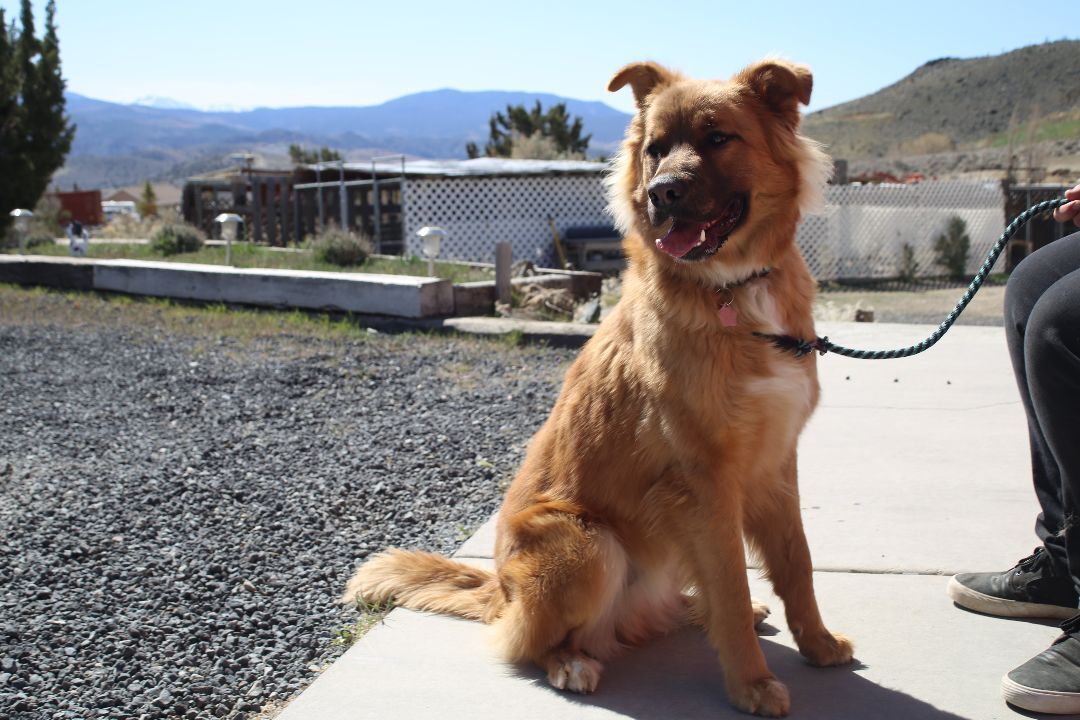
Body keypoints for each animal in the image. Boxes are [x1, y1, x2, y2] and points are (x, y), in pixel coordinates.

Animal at [345, 59, 851, 716]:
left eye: (719, 138)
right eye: (655, 149)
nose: (662, 193)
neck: (733, 291)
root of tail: (499, 590)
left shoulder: (776, 461)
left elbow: (796, 564)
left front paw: (817, 643)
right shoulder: (706, 480)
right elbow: (732, 590)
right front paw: (751, 684)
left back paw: (688, 611)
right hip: (587, 544)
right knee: (531, 641)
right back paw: (571, 663)